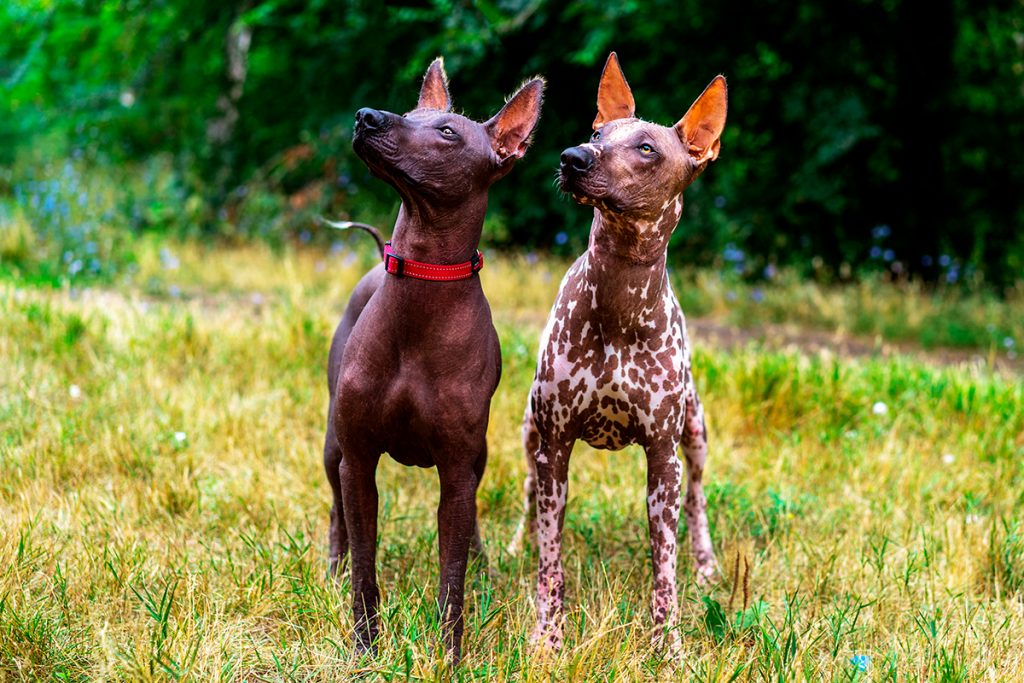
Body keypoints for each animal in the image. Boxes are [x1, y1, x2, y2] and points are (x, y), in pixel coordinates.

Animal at [325, 60, 548, 663]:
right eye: (410, 112)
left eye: (448, 132)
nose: (367, 116)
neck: (422, 285)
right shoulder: (359, 461)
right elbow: (365, 566)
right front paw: (364, 648)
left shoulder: (456, 469)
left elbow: (452, 575)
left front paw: (450, 655)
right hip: (333, 447)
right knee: (335, 512)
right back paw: (329, 568)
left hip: (479, 460)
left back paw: (484, 565)